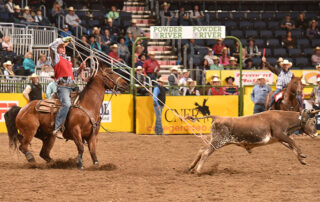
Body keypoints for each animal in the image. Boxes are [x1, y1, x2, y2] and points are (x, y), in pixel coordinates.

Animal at [185, 109, 318, 174]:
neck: (283, 118)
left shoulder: (280, 139)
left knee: (201, 150)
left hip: (216, 140)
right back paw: (198, 170)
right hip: (218, 141)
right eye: (313, 122)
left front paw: (301, 159)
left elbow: (292, 147)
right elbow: (294, 143)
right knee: (205, 153)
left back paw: (190, 168)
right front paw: (302, 155)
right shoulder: (280, 134)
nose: (316, 134)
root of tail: (217, 117)